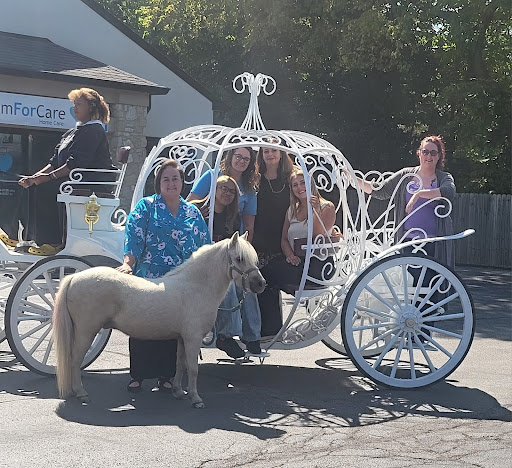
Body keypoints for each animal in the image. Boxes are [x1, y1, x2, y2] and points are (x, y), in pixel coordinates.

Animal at [53, 232, 264, 408]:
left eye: (254, 259)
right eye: (239, 258)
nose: (260, 284)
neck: (195, 286)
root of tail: (73, 278)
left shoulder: (182, 338)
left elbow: (180, 365)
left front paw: (178, 391)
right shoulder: (193, 339)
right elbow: (193, 368)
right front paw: (196, 399)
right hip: (86, 332)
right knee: (75, 360)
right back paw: (81, 393)